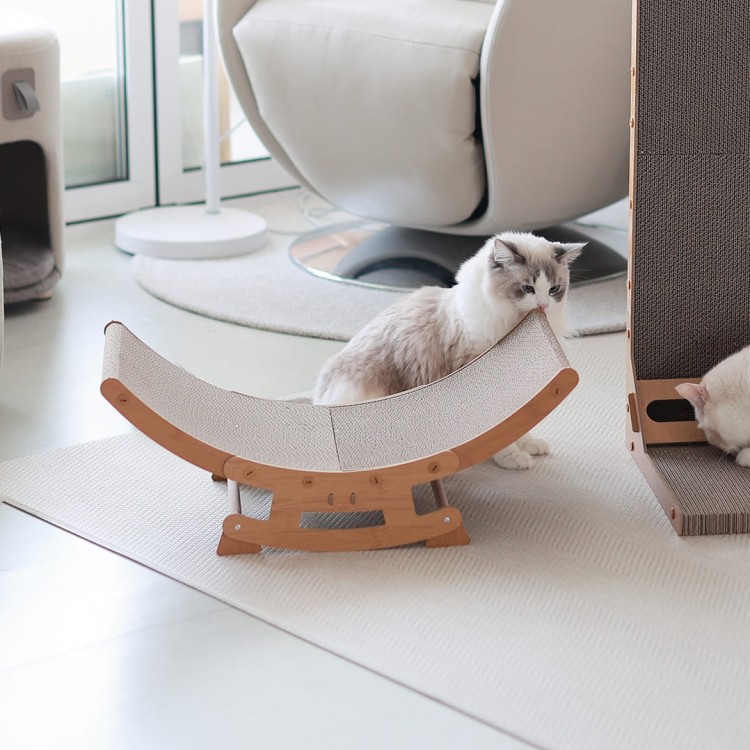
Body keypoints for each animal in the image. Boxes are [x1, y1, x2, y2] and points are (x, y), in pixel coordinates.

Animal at [313, 231, 584, 469]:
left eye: (553, 290)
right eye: (527, 288)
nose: (543, 306)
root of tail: (319, 399)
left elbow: (522, 423)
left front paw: (528, 445)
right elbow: (501, 433)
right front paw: (512, 457)